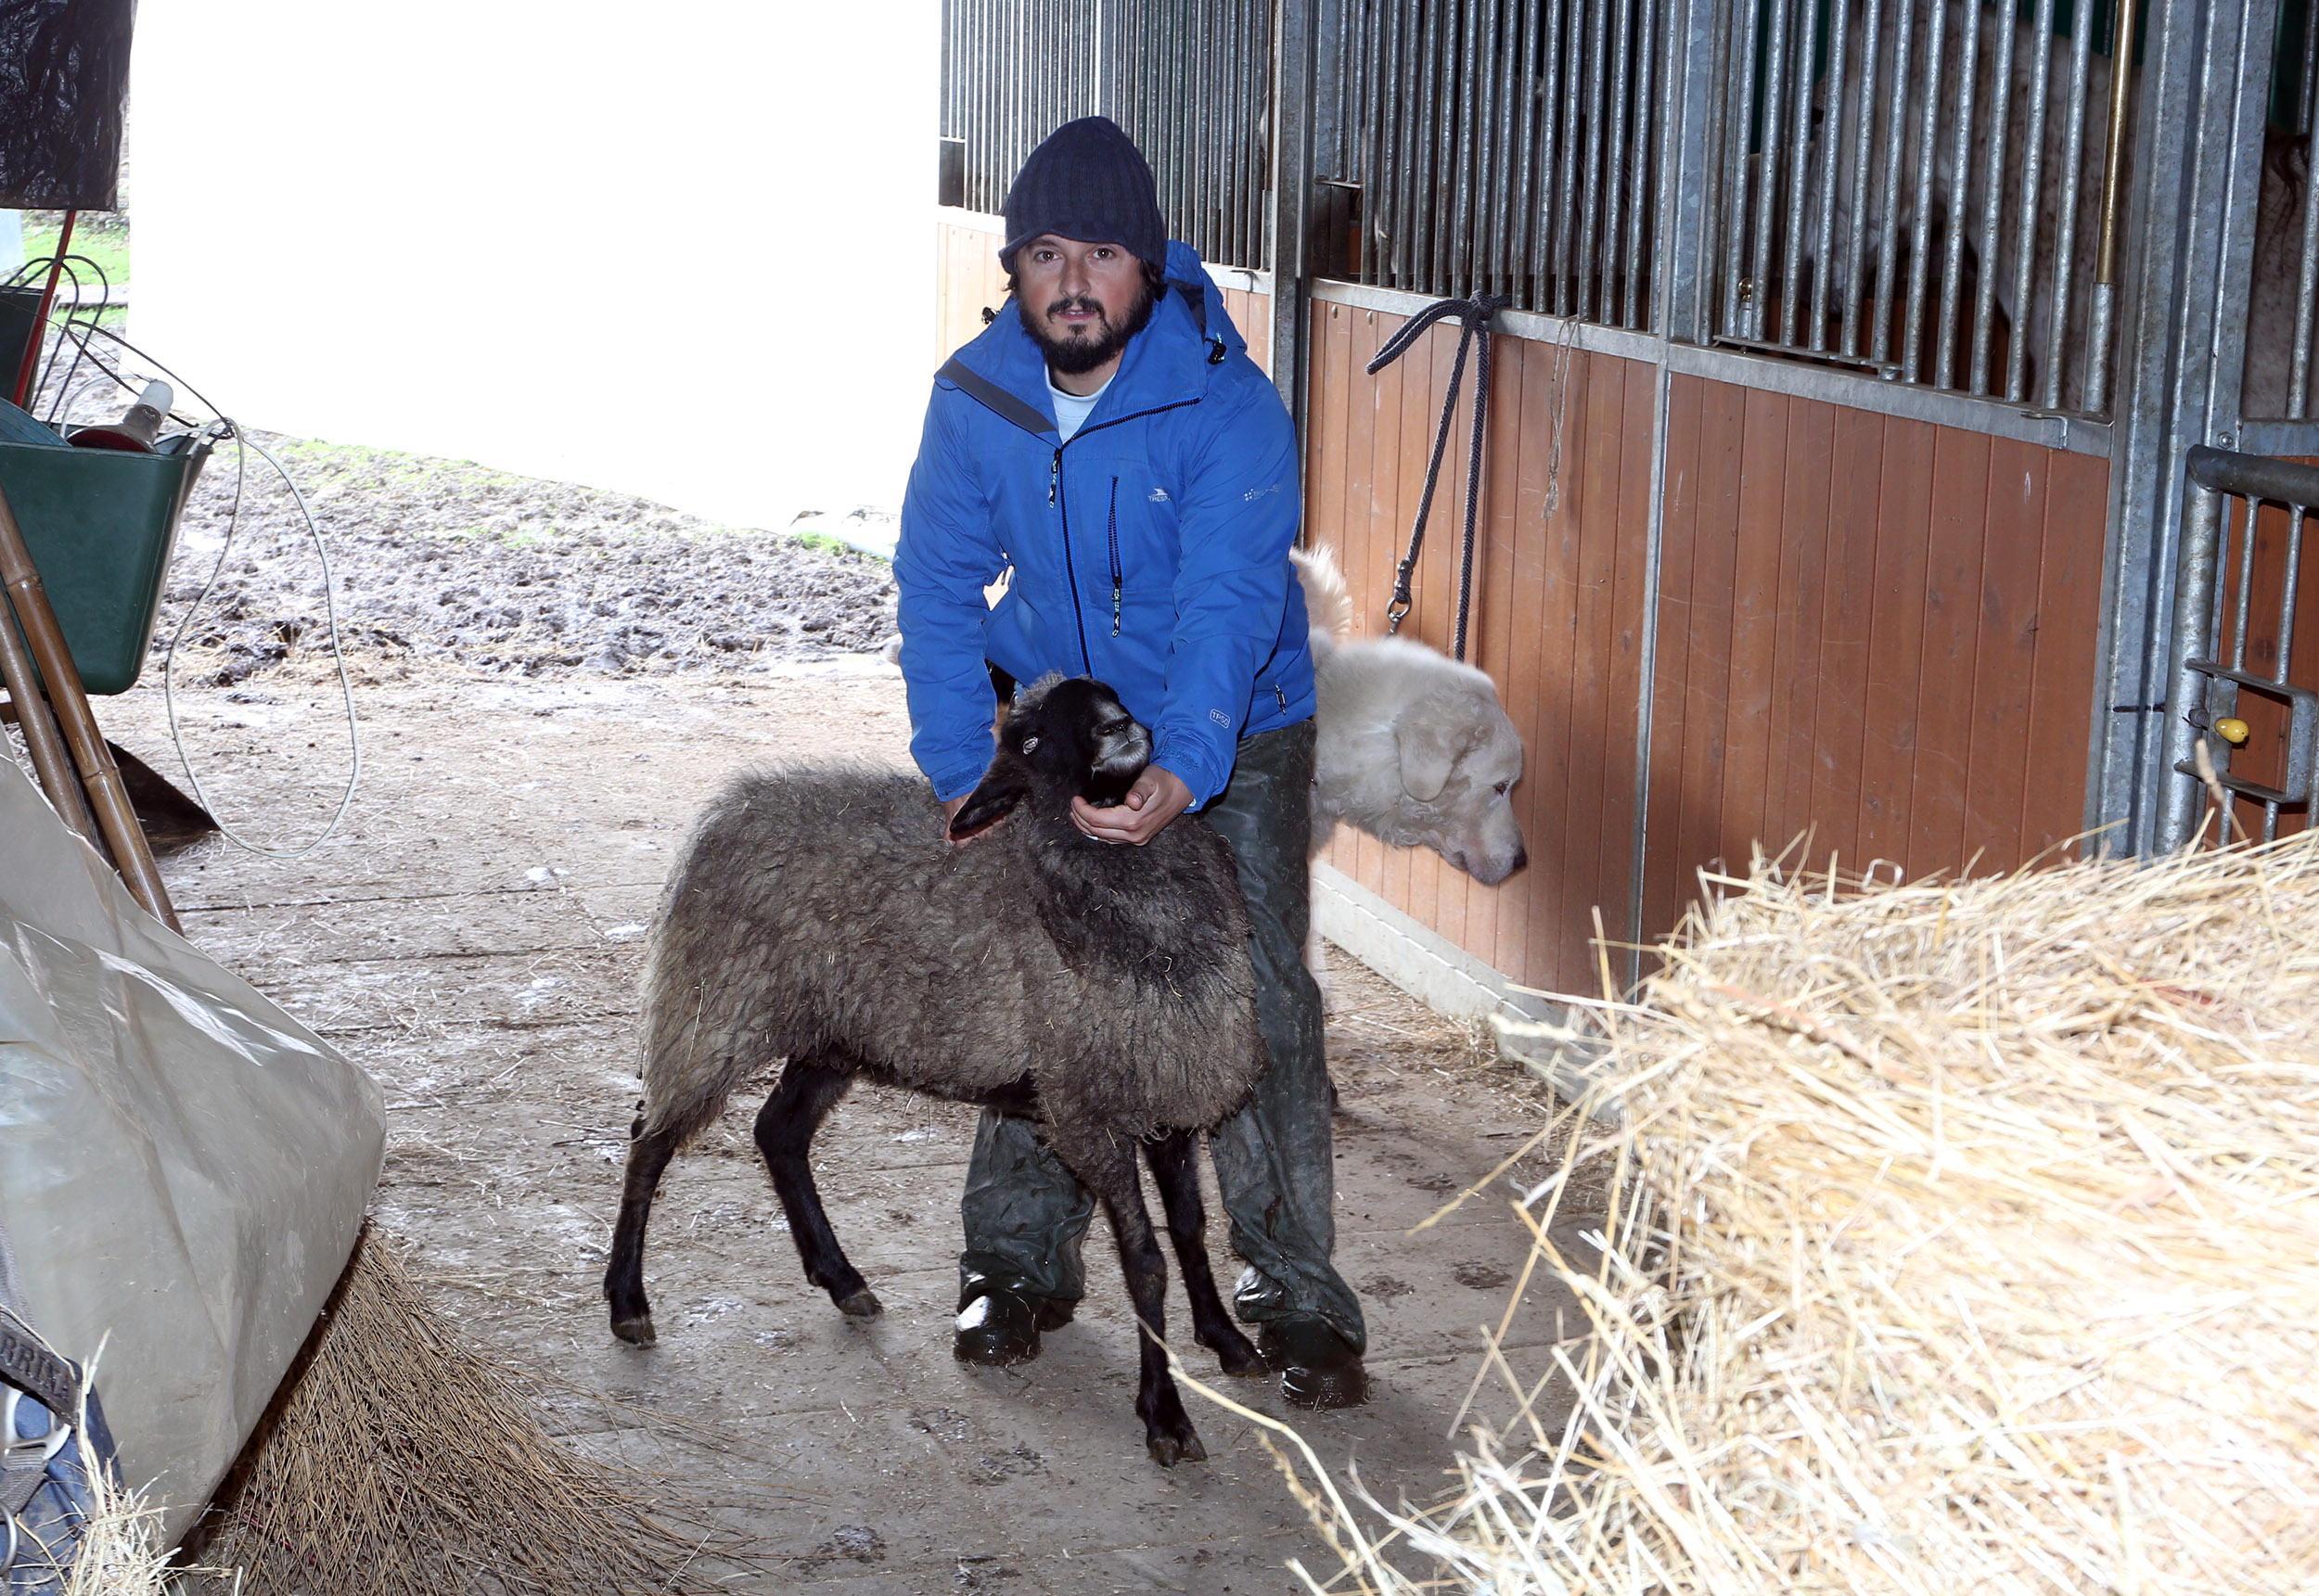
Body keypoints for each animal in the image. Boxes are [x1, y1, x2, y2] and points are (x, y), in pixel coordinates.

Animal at [601, 674, 1267, 1466]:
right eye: (1030, 740)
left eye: (1108, 692)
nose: (1117, 725)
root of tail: (729, 806)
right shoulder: (1090, 1112)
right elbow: (1145, 1259)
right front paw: (1164, 1411)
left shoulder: (1171, 1093)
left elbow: (1193, 1226)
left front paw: (1225, 1337)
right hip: (713, 1007)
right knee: (649, 1141)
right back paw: (628, 1302)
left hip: (833, 1033)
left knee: (778, 1132)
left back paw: (843, 1279)